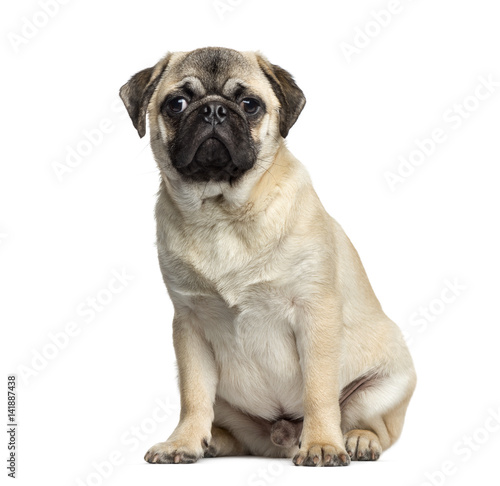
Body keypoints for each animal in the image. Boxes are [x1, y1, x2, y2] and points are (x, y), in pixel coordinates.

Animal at [119, 46, 416, 468]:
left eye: (250, 105)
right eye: (177, 104)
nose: (213, 110)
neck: (222, 213)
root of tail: (280, 437)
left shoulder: (315, 314)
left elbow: (319, 390)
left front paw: (322, 444)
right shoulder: (189, 325)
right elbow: (193, 396)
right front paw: (184, 442)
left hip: (385, 387)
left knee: (376, 426)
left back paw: (357, 440)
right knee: (227, 425)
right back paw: (212, 441)